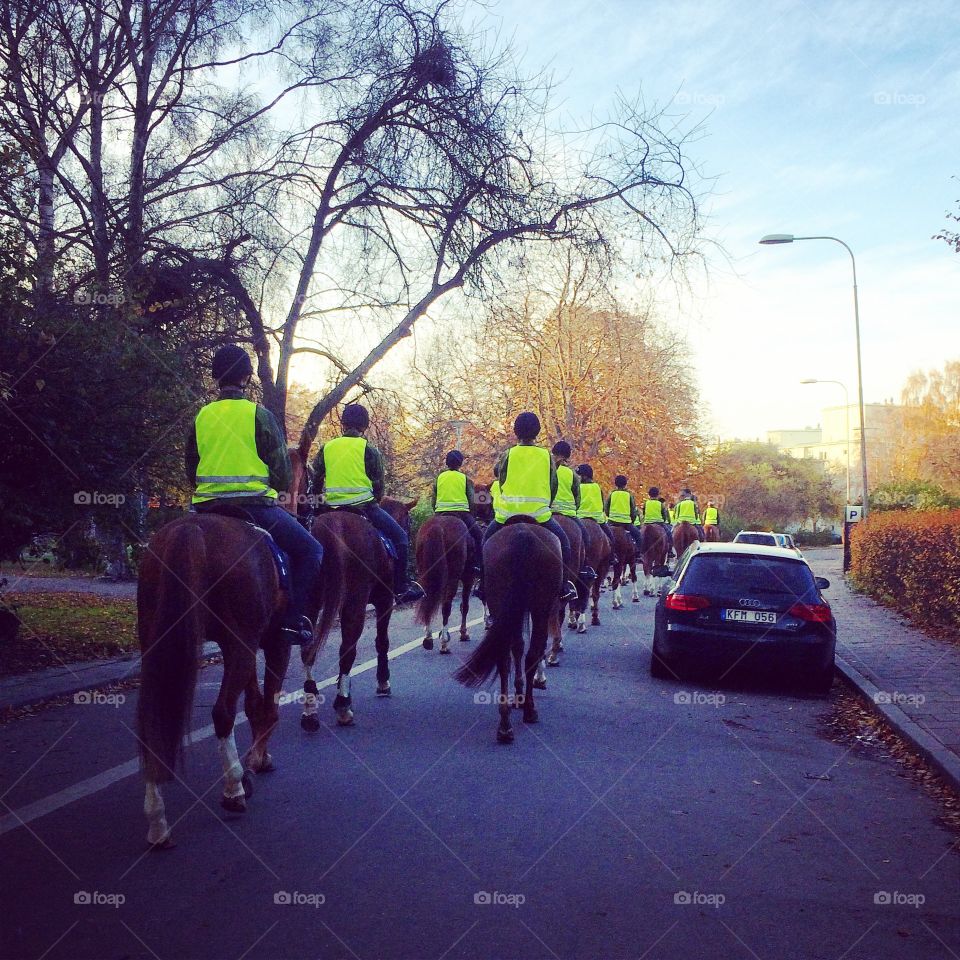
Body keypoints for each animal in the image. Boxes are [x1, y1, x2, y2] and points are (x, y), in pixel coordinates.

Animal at [133, 516, 296, 848]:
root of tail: (191, 527)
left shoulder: (240, 647)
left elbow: (253, 702)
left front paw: (258, 758)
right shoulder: (273, 642)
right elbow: (267, 707)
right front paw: (255, 762)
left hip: (155, 641)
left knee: (151, 724)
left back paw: (157, 821)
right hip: (242, 641)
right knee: (222, 712)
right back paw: (233, 789)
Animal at [414, 512, 474, 656]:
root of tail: (438, 527)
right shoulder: (469, 577)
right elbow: (465, 606)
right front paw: (463, 633)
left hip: (425, 574)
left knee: (428, 600)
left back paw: (428, 638)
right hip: (453, 577)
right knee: (446, 606)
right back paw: (444, 643)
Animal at [456, 516, 564, 744]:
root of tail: (522, 536)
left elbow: (517, 647)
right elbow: (527, 649)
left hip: (501, 603)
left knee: (504, 659)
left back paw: (505, 726)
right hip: (541, 607)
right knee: (531, 654)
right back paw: (529, 710)